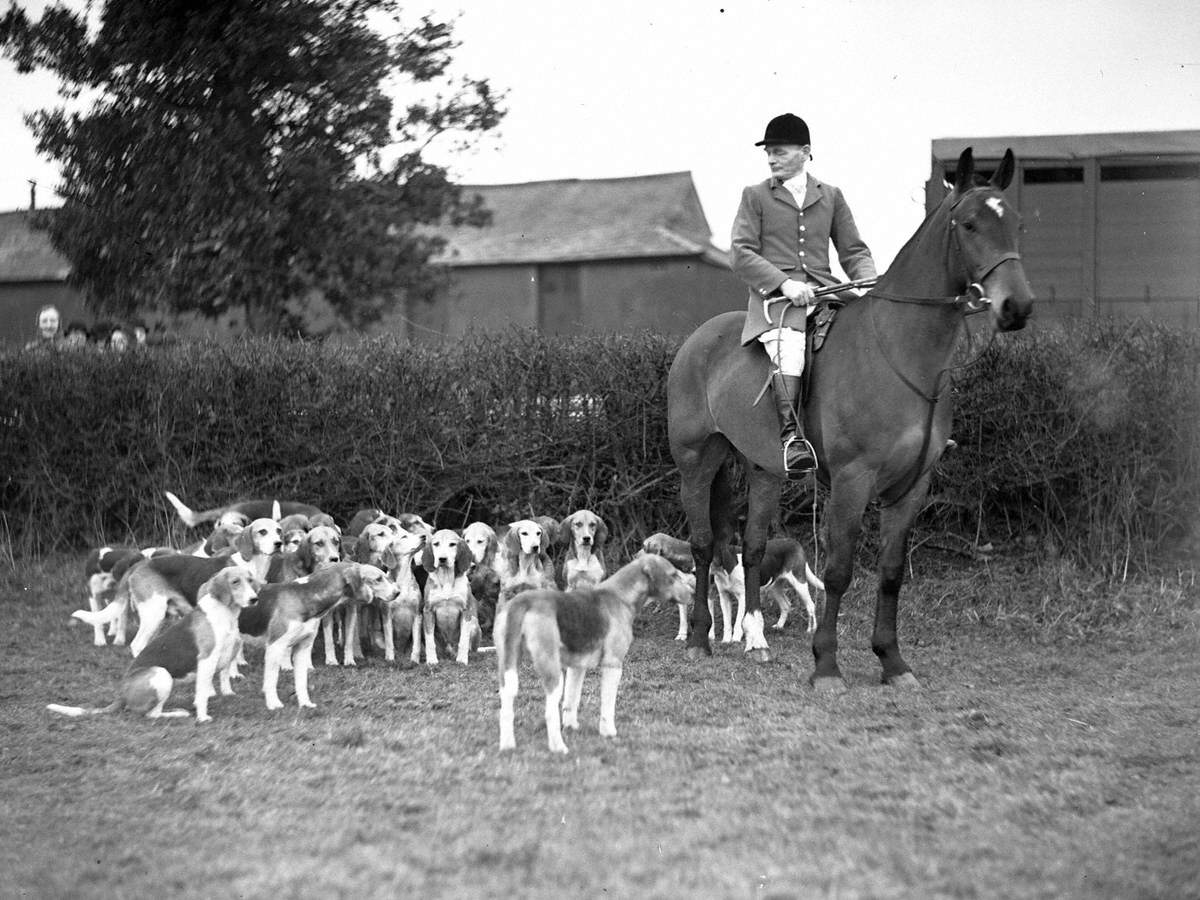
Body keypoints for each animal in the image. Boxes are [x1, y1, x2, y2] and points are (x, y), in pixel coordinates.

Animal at [667, 148, 1032, 691]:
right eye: (969, 224)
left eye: (1016, 225)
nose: (1017, 307)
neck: (900, 352)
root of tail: (698, 339)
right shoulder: (853, 480)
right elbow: (840, 570)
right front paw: (826, 666)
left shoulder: (912, 485)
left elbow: (891, 571)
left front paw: (893, 662)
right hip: (697, 461)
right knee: (705, 544)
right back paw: (698, 639)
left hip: (764, 468)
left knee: (752, 547)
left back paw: (755, 641)